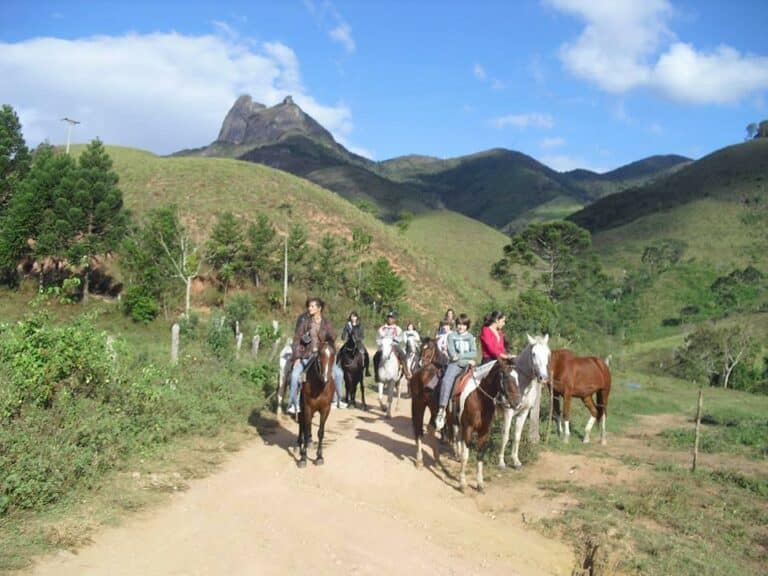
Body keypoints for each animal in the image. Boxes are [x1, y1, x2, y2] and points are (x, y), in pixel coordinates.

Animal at [498, 332, 552, 468]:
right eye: (533, 353)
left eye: (548, 353)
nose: (543, 378)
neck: (520, 381)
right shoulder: (508, 411)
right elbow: (505, 435)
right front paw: (501, 462)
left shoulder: (524, 412)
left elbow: (517, 435)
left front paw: (516, 461)